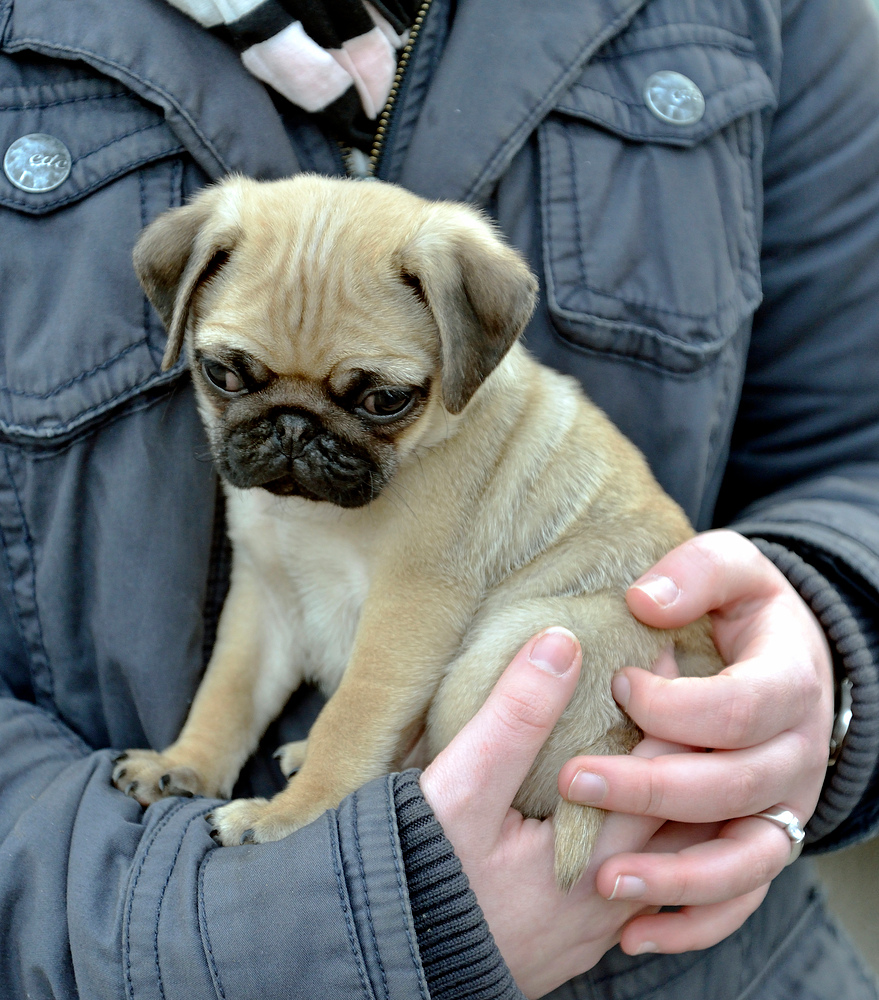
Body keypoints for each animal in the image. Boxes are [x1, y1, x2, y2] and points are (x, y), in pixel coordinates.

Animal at [113, 176, 720, 888]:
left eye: (384, 401)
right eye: (224, 375)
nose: (293, 427)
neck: (317, 519)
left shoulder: (406, 611)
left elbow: (352, 720)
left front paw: (288, 814)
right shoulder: (264, 603)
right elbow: (227, 694)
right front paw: (183, 764)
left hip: (515, 641)